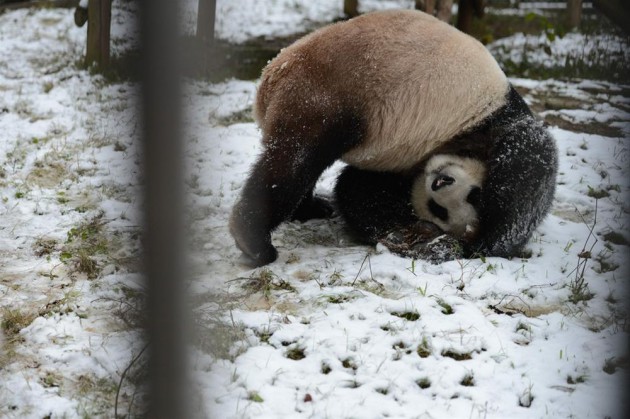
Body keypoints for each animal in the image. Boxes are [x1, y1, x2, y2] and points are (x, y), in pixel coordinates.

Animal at [230, 9, 560, 266]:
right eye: (473, 195)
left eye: (439, 210)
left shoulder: (402, 169)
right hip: (323, 94)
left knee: (296, 162)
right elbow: (526, 168)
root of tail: (268, 83)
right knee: (295, 163)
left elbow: (358, 190)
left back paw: (308, 209)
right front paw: (480, 243)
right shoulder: (490, 124)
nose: (442, 181)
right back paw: (256, 242)